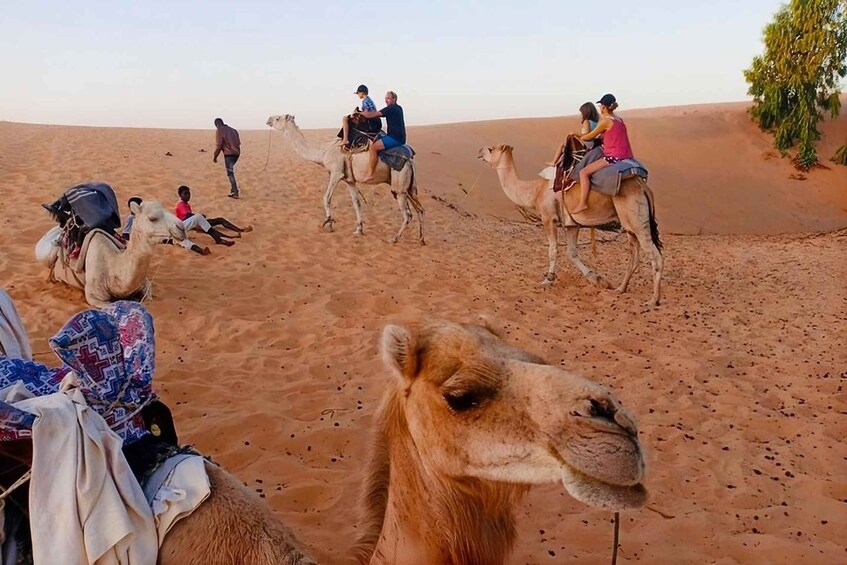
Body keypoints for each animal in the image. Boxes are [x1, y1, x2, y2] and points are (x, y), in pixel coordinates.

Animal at [266, 114, 425, 244]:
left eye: (278, 118)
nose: (268, 119)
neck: (323, 152)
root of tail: (409, 159)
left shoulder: (336, 173)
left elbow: (326, 197)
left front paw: (329, 224)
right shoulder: (350, 180)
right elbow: (357, 203)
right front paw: (358, 230)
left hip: (399, 185)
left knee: (407, 214)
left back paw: (394, 238)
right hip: (409, 187)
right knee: (419, 208)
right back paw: (421, 239)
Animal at [479, 145, 664, 307]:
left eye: (492, 149)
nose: (480, 151)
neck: (536, 190)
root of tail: (643, 186)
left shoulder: (548, 218)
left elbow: (553, 250)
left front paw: (548, 279)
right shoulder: (571, 224)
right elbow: (572, 252)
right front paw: (598, 279)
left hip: (637, 218)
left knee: (655, 256)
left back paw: (653, 300)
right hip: (629, 222)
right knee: (634, 255)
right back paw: (620, 288)